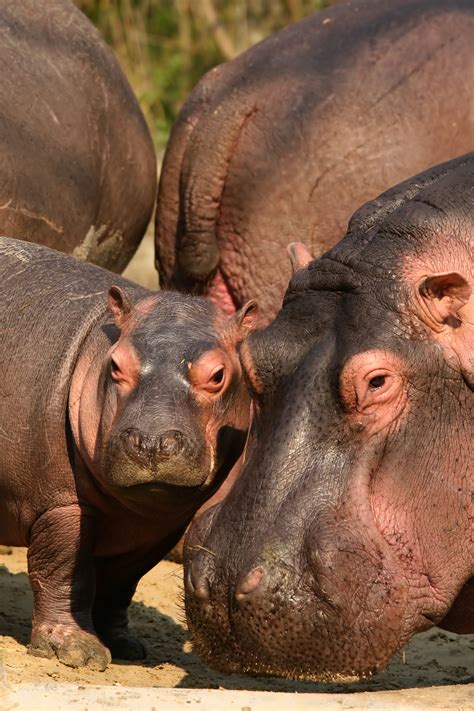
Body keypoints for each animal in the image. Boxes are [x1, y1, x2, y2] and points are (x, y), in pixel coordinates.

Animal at [0, 236, 258, 672]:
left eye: (219, 374)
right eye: (116, 364)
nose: (151, 442)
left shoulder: (160, 525)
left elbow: (121, 585)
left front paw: (125, 647)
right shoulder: (61, 504)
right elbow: (63, 572)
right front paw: (77, 653)